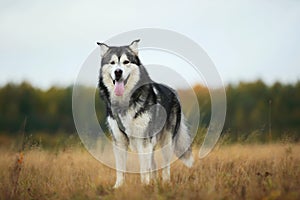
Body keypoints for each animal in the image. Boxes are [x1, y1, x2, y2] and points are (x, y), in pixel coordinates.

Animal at [97, 39, 193, 188]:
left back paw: (165, 183)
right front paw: (118, 187)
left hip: (166, 142)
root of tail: (173, 92)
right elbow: (120, 169)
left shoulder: (143, 140)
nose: (118, 72)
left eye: (126, 62)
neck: (124, 103)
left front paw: (144, 186)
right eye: (112, 63)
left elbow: (143, 168)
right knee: (153, 165)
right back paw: (154, 183)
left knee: (165, 167)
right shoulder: (119, 141)